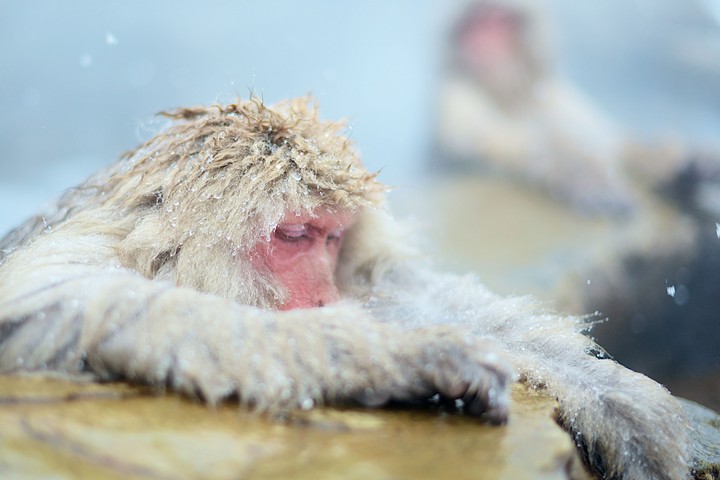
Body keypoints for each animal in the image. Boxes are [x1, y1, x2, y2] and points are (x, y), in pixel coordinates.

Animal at [0, 97, 691, 479]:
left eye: (332, 239)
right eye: (293, 236)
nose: (326, 296)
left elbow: (407, 295)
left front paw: (621, 402)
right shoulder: (87, 255)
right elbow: (61, 303)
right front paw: (418, 360)